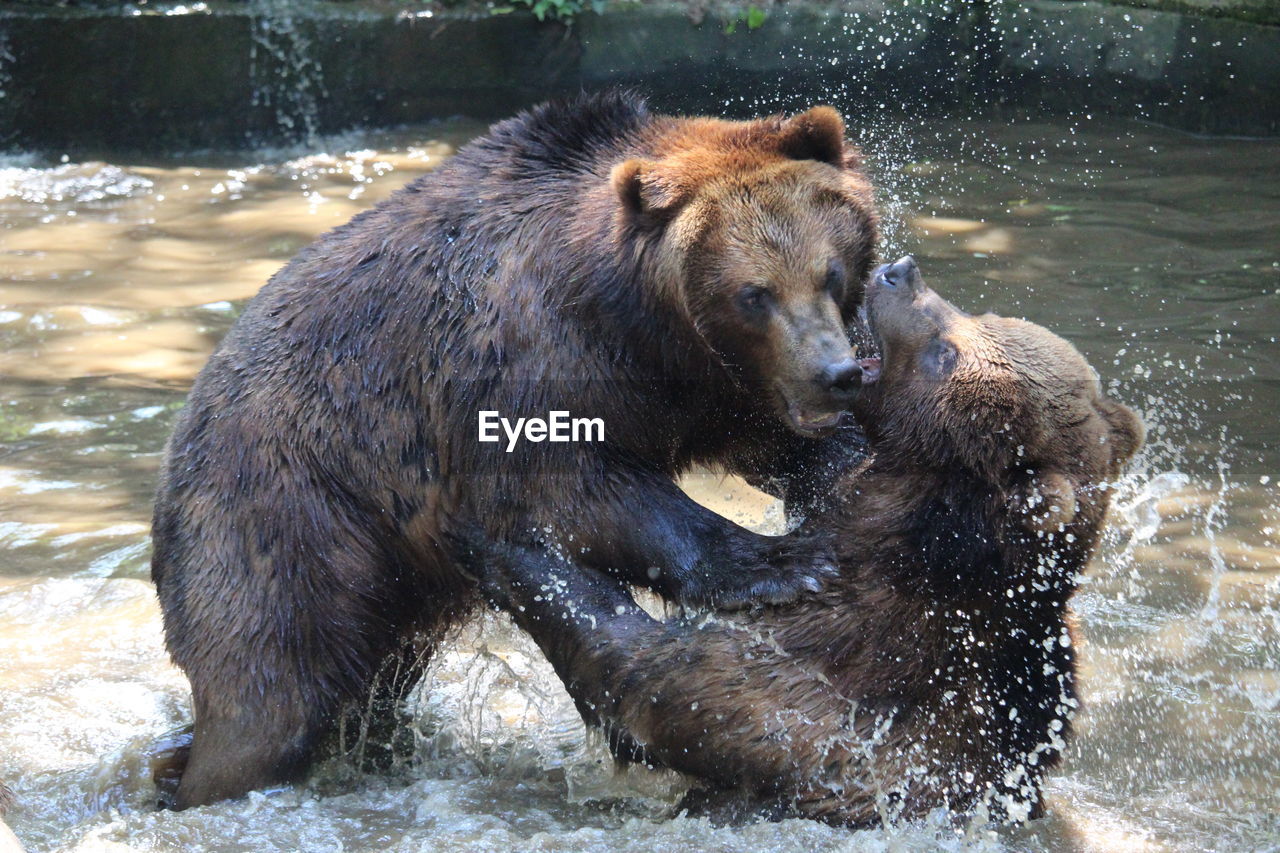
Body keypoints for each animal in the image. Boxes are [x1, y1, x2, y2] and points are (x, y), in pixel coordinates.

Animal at [149, 91, 880, 804]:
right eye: (754, 293)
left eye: (830, 272)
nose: (836, 372)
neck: (637, 321)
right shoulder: (524, 365)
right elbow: (574, 494)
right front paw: (786, 560)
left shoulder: (711, 387)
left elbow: (773, 442)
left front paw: (849, 467)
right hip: (285, 510)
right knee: (271, 683)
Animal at [471, 253, 1152, 824]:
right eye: (977, 316)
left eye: (945, 353)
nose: (900, 272)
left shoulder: (850, 660)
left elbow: (661, 677)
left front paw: (517, 550)